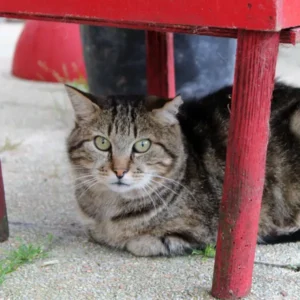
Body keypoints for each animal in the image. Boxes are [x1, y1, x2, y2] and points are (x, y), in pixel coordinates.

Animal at [67, 83, 300, 256]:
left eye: (142, 145)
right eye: (101, 143)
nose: (119, 171)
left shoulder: (211, 233)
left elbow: (140, 243)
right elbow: (96, 232)